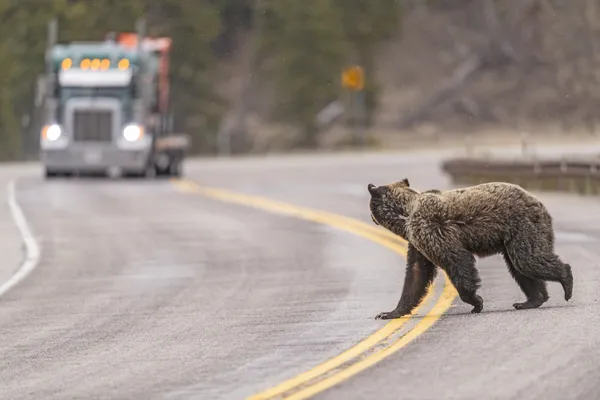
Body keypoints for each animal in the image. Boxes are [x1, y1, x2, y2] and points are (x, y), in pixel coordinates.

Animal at [368, 178, 576, 318]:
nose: (371, 218)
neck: (406, 215)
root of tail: (539, 203)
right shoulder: (418, 243)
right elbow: (416, 274)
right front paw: (390, 312)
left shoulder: (433, 229)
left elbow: (457, 262)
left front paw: (476, 302)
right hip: (512, 239)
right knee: (521, 269)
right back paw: (530, 300)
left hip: (523, 227)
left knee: (529, 260)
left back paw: (566, 283)